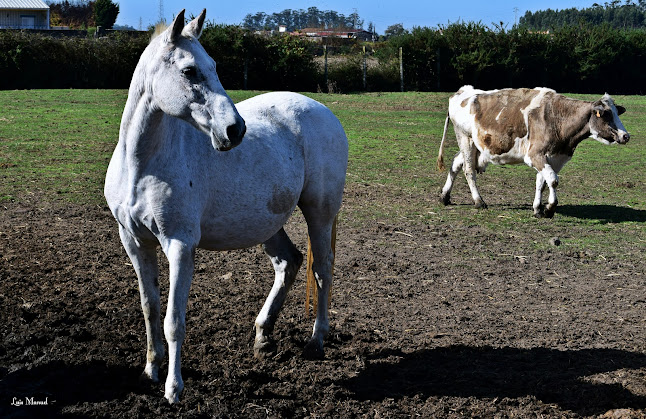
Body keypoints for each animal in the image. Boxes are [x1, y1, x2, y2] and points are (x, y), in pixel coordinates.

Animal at [104, 9, 350, 404]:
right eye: (190, 70)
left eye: (214, 66)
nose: (235, 130)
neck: (142, 164)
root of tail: (323, 111)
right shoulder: (135, 242)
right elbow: (150, 309)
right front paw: (150, 371)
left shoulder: (179, 245)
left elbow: (174, 320)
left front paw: (174, 388)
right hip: (268, 223)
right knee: (289, 262)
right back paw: (263, 335)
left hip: (320, 213)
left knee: (322, 268)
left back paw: (316, 341)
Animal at [438, 84, 632, 218]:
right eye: (606, 115)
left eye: (616, 113)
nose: (625, 136)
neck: (557, 117)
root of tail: (462, 92)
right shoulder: (535, 155)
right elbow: (553, 180)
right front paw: (549, 208)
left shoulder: (553, 157)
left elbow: (542, 182)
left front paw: (538, 209)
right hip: (465, 139)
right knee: (469, 170)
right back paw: (478, 201)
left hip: (475, 147)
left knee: (456, 164)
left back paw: (445, 196)